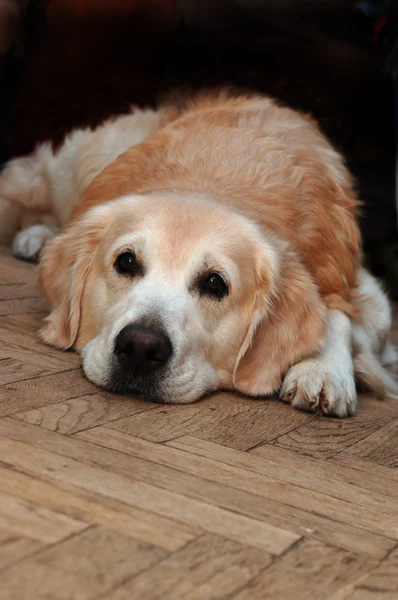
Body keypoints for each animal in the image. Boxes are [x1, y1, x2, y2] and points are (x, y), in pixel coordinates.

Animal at [0, 91, 398, 414]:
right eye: (125, 261)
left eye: (215, 284)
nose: (140, 347)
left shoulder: (362, 286)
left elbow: (340, 315)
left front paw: (325, 370)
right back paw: (37, 237)